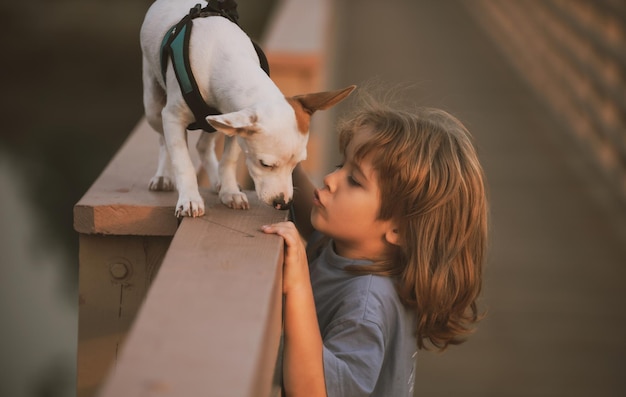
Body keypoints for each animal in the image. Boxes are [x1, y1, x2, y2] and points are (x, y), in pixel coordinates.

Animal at [142, 0, 356, 217]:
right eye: (265, 164)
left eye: (296, 164)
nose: (284, 203)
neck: (225, 58)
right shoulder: (174, 117)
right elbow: (183, 162)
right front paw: (190, 200)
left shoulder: (234, 123)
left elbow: (228, 160)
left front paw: (230, 191)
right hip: (154, 108)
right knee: (163, 141)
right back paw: (163, 176)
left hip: (213, 121)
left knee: (203, 145)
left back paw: (217, 180)